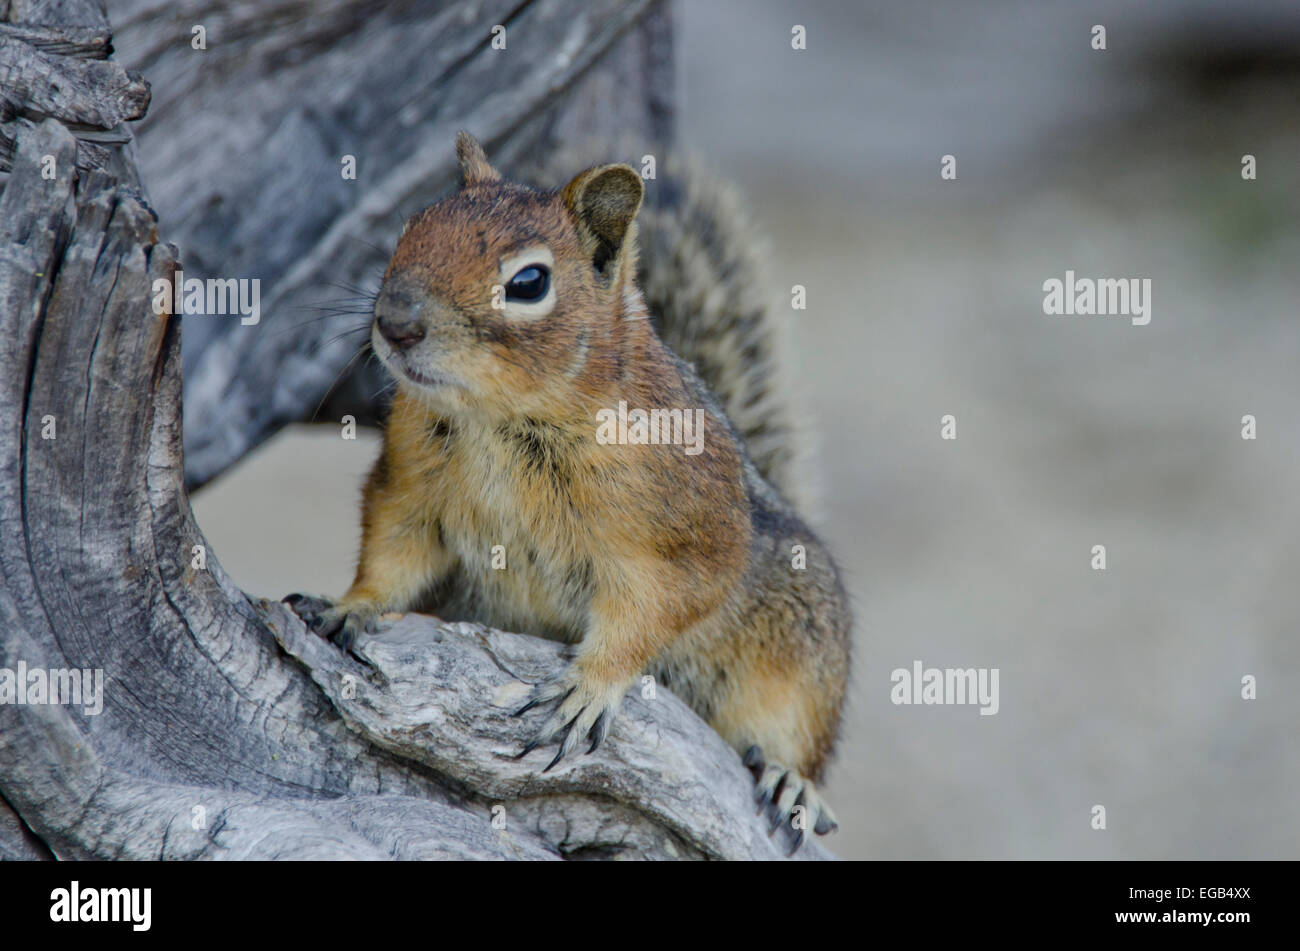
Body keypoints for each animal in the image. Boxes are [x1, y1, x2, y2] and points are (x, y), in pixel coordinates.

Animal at [286, 131, 852, 847]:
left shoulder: (684, 541)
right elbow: (390, 556)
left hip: (801, 657)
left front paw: (590, 685)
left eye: (529, 282)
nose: (395, 322)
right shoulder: (407, 490)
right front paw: (349, 606)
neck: (500, 419)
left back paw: (789, 778)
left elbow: (651, 613)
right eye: (411, 228)